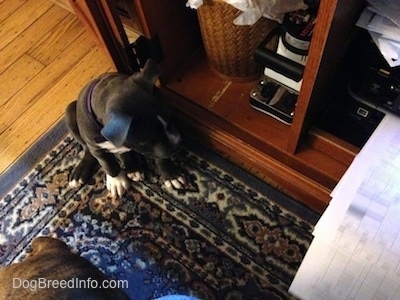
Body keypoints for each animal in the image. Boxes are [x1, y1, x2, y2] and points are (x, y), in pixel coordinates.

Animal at [65, 60, 184, 197]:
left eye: (171, 118)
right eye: (146, 141)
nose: (178, 143)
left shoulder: (158, 148)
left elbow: (161, 157)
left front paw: (170, 175)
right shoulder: (97, 148)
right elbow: (109, 165)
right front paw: (116, 181)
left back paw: (133, 168)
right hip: (70, 113)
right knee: (88, 151)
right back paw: (80, 172)